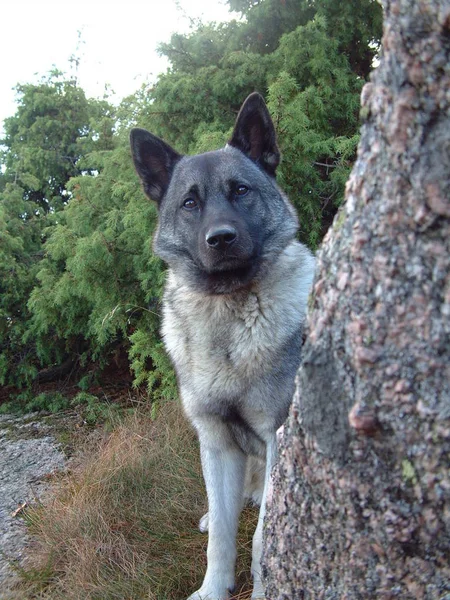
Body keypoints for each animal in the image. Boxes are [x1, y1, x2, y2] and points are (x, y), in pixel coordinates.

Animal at [129, 91, 312, 596]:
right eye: (190, 202)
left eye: (241, 191)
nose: (221, 239)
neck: (228, 314)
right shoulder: (215, 441)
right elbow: (223, 539)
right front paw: (212, 588)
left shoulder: (277, 438)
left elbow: (264, 537)